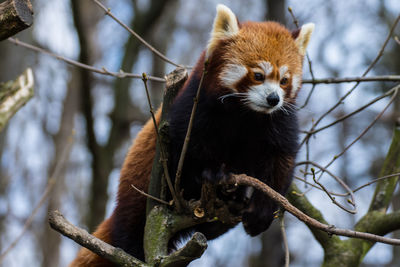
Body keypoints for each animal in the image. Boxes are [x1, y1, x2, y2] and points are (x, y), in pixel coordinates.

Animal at [70, 4, 312, 267]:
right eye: (258, 75)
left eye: (284, 80)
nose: (273, 99)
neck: (246, 114)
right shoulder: (193, 107)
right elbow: (189, 148)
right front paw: (212, 173)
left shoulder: (279, 121)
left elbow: (280, 163)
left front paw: (261, 212)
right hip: (137, 198)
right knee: (131, 235)